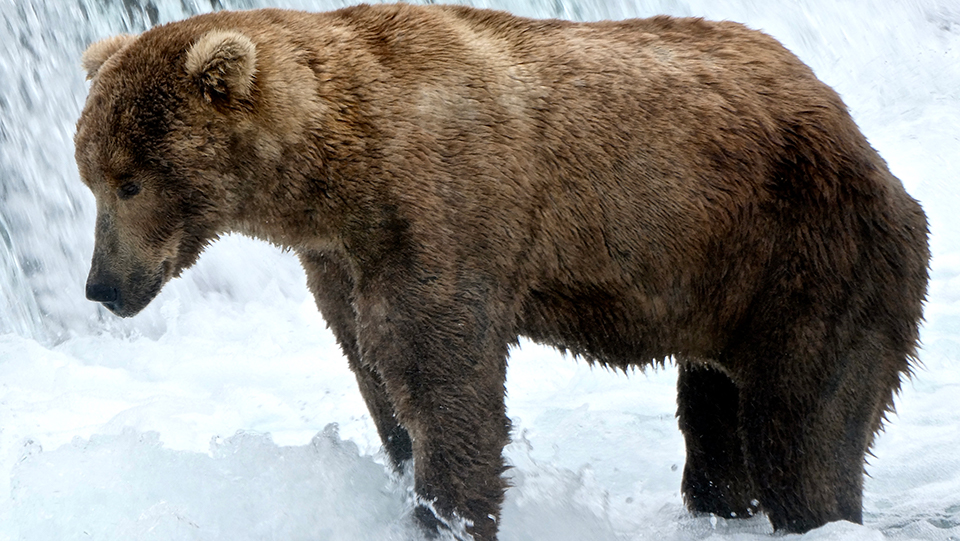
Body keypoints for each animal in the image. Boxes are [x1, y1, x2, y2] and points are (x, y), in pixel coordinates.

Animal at [74, 4, 930, 540]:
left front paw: (450, 508)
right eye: (90, 176)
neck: (338, 176)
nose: (102, 287)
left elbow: (446, 379)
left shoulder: (444, 213)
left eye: (131, 181)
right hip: (721, 283)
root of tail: (859, 136)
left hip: (811, 251)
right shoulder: (342, 260)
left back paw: (815, 506)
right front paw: (408, 469)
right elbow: (376, 373)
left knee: (803, 424)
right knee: (717, 417)